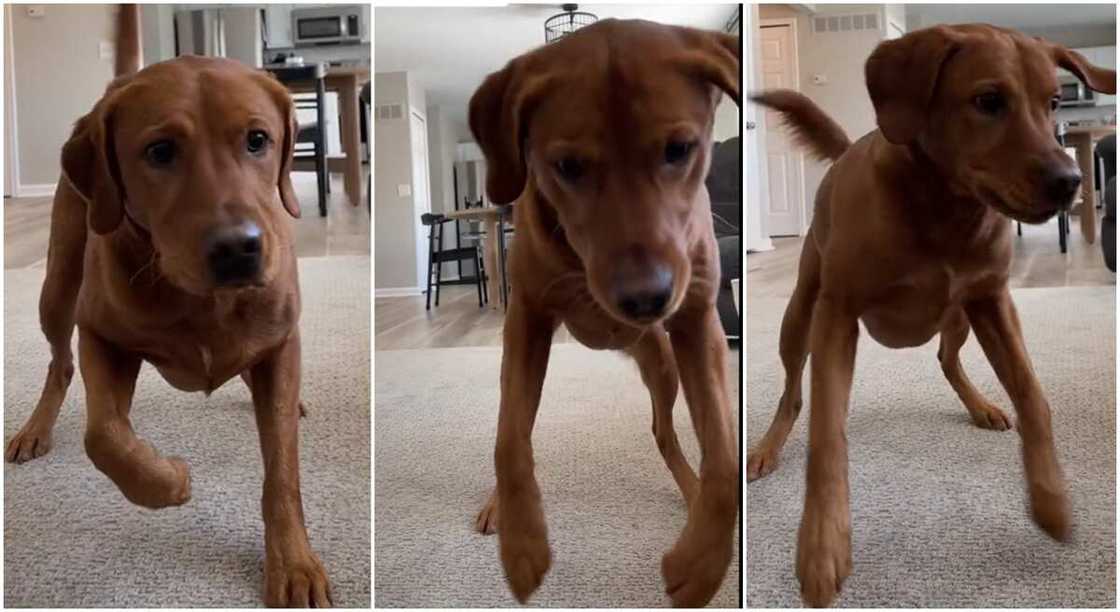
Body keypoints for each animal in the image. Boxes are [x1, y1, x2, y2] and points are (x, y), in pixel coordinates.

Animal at [4, 4, 329, 605]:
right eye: (159, 152)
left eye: (257, 139)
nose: (238, 249)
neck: (201, 300)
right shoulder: (100, 334)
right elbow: (104, 436)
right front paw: (168, 480)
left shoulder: (281, 342)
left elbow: (282, 471)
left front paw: (293, 564)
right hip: (57, 285)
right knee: (60, 365)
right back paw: (35, 428)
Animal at [468, 19, 739, 605]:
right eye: (568, 166)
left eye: (679, 149)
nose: (645, 299)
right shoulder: (527, 321)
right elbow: (509, 441)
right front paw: (523, 544)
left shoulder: (696, 323)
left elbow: (725, 457)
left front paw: (701, 564)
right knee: (516, 424)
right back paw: (500, 505)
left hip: (662, 363)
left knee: (666, 434)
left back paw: (691, 491)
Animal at [748, 22, 1115, 605]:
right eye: (988, 101)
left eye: (1054, 102)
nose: (1071, 181)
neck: (945, 207)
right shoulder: (837, 317)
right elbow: (827, 435)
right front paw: (821, 547)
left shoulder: (994, 301)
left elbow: (1035, 399)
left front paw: (1051, 499)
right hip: (799, 316)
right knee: (792, 393)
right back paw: (767, 447)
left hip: (960, 317)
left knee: (947, 359)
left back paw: (982, 406)